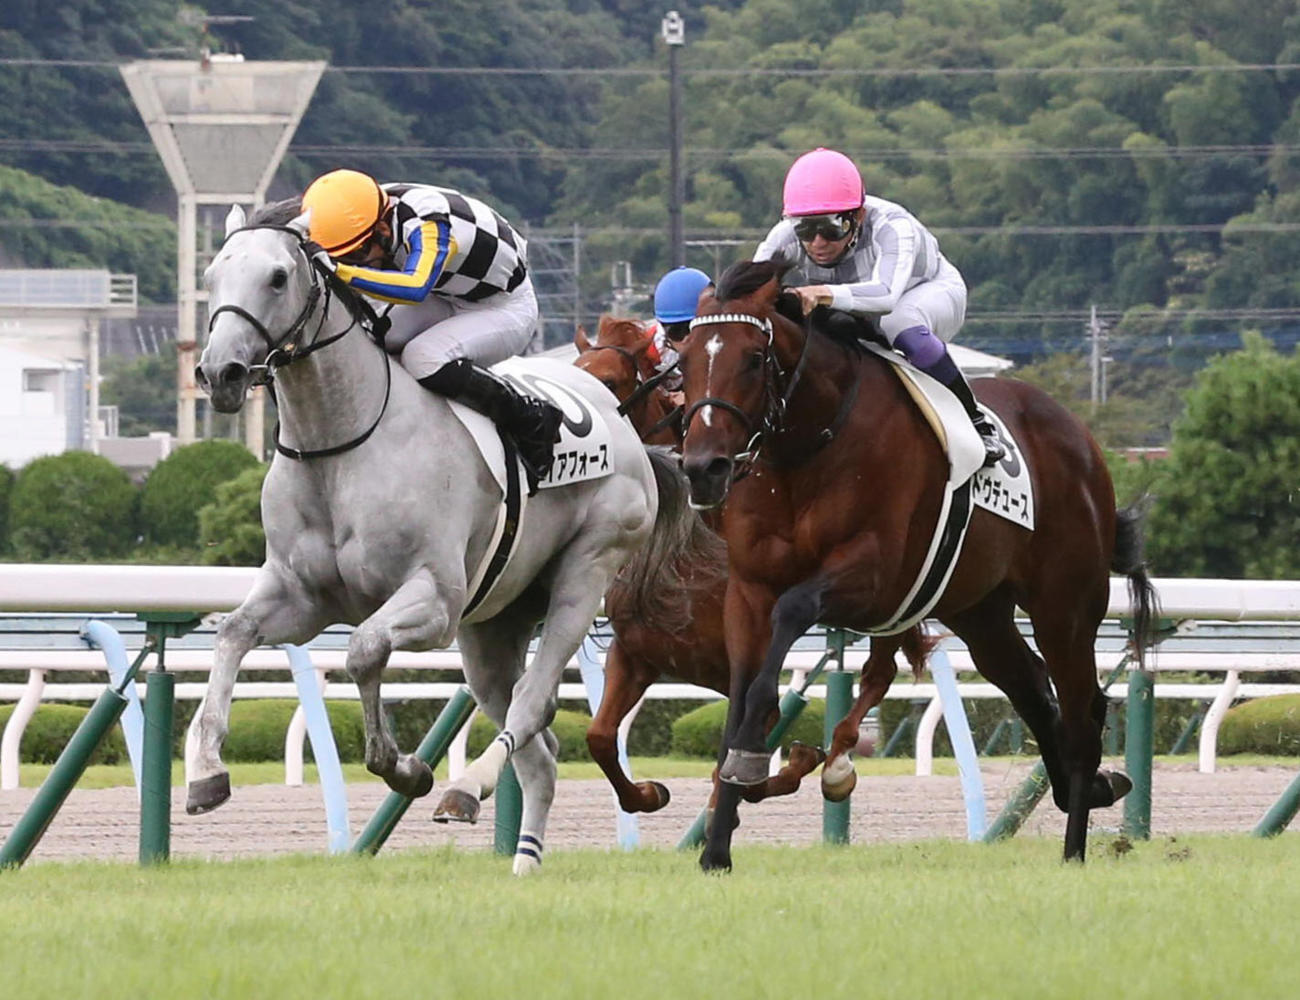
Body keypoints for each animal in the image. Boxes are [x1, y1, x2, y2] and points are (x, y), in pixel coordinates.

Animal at [189, 201, 703, 874]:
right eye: (212, 275)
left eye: (277, 277)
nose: (218, 372)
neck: (345, 444)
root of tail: (622, 426)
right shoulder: (301, 597)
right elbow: (232, 633)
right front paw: (205, 773)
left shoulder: (434, 600)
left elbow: (364, 650)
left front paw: (403, 767)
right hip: (492, 626)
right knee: (539, 756)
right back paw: (523, 861)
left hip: (585, 570)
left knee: (533, 701)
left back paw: (466, 788)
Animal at [572, 315, 931, 817]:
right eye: (573, 371)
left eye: (607, 381)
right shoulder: (636, 653)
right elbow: (599, 737)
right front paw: (647, 792)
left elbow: (751, 755)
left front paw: (797, 760)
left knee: (879, 671)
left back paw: (839, 763)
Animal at [677, 258, 1158, 871]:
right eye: (685, 360)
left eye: (754, 359)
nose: (704, 468)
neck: (807, 448)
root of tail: (1083, 440)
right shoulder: (749, 589)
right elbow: (739, 694)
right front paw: (717, 845)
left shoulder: (873, 575)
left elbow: (793, 613)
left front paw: (758, 758)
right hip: (980, 611)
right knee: (1030, 685)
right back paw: (1091, 789)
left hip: (1066, 605)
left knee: (1081, 711)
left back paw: (1075, 843)